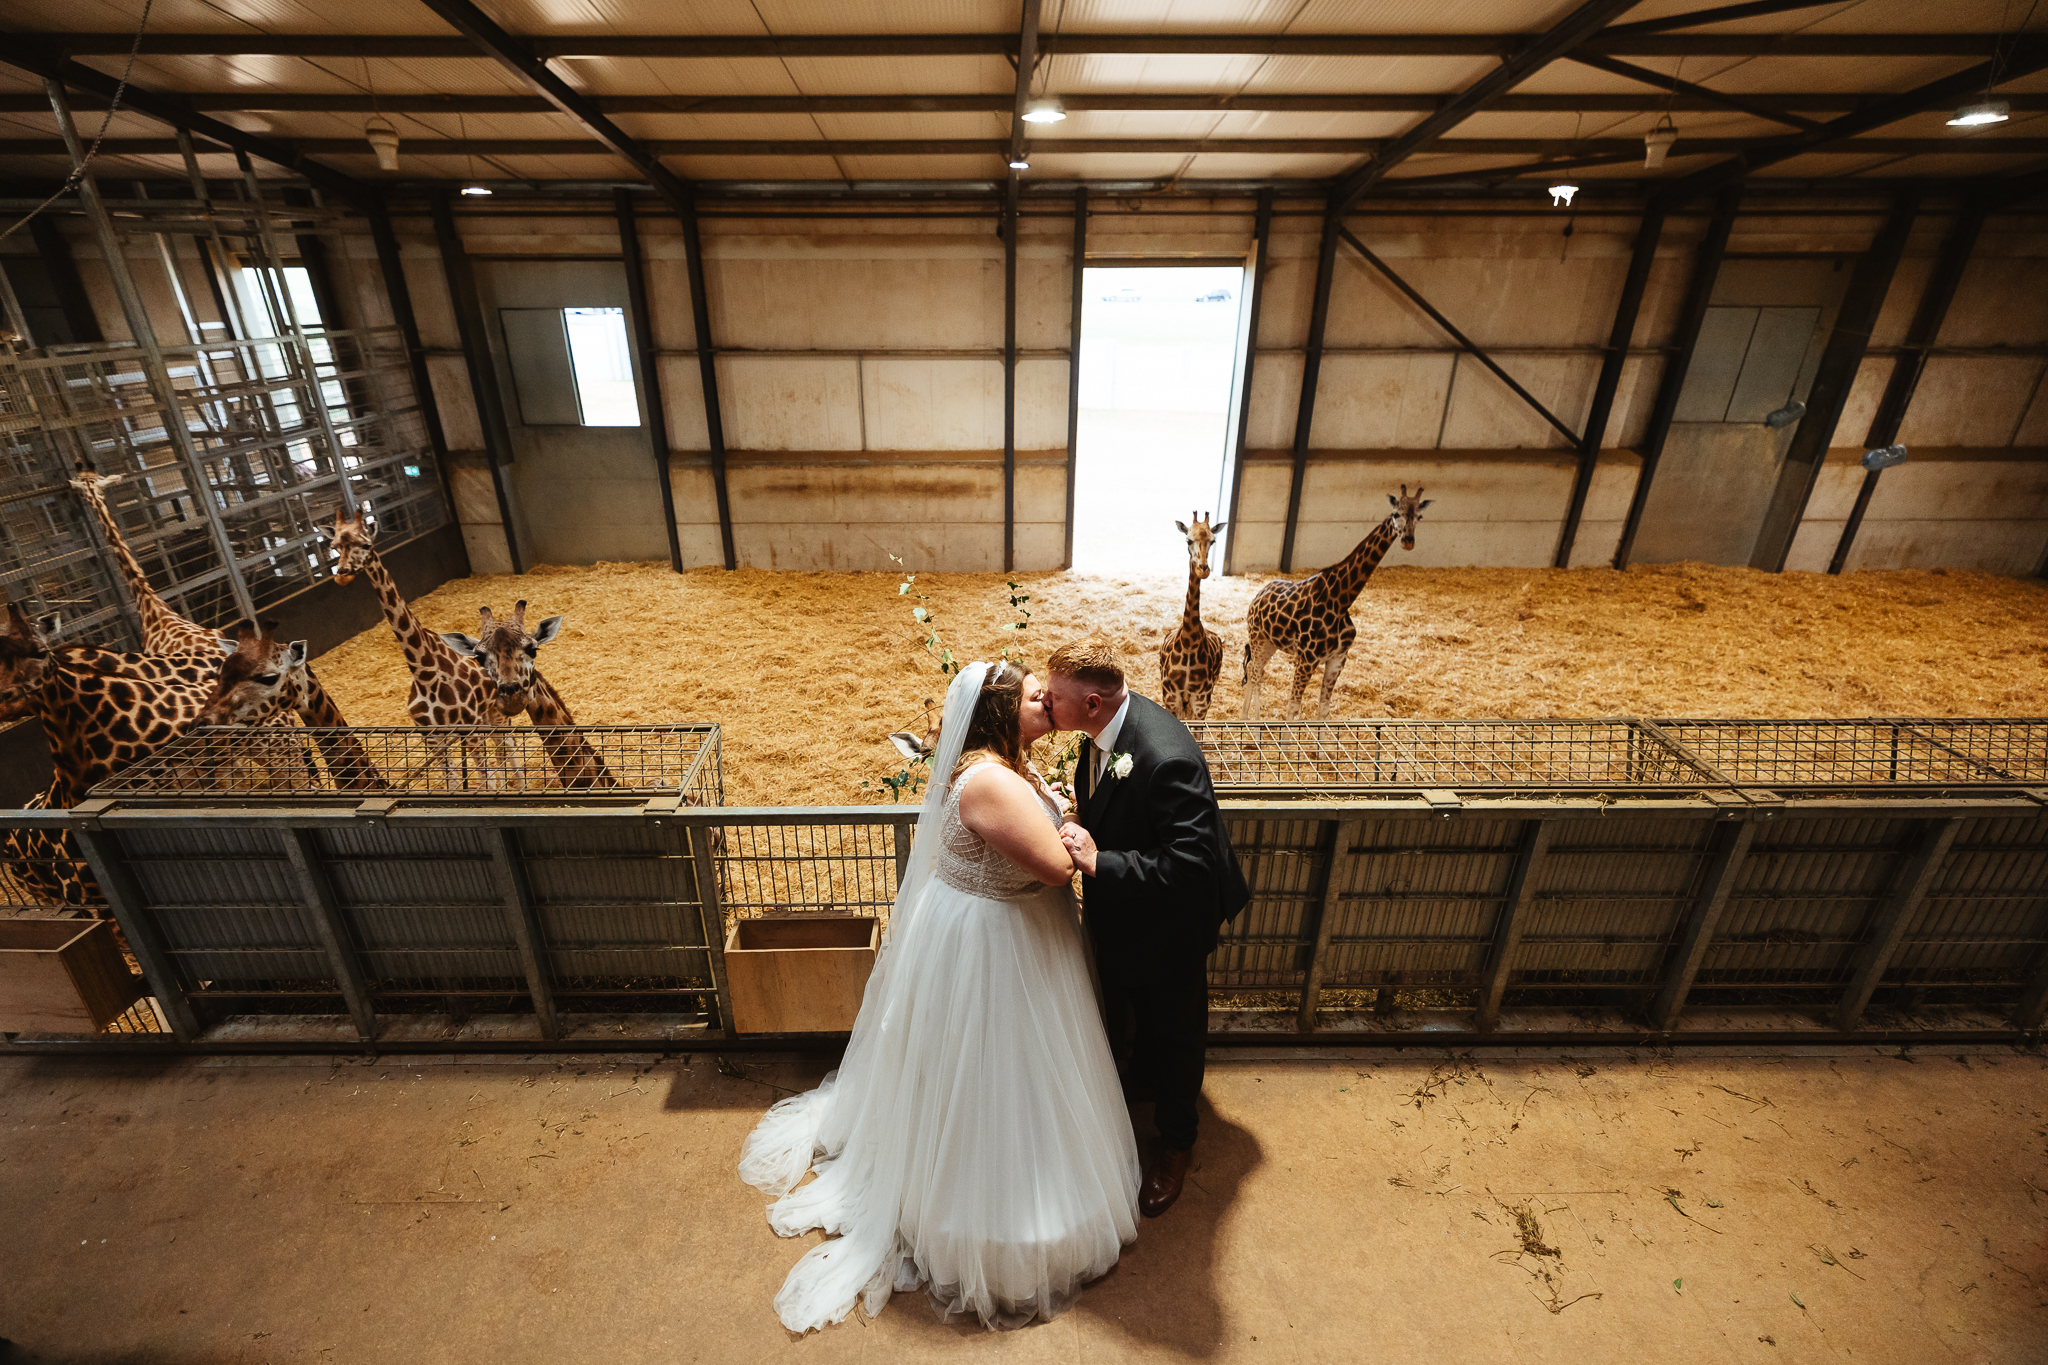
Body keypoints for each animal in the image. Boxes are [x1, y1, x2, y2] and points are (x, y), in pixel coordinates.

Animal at [1163, 511, 1220, 724]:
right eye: (1188, 540)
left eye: (1213, 541)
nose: (1203, 569)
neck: (1189, 642)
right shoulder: (1172, 699)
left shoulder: (1201, 702)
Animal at [1236, 485, 1433, 720]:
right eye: (1396, 514)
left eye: (1420, 517)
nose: (1408, 541)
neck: (1340, 601)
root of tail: (1258, 594)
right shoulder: (1306, 660)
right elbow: (1292, 708)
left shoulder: (1338, 659)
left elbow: (1323, 709)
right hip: (1257, 636)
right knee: (1255, 672)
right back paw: (1251, 722)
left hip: (1271, 642)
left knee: (1255, 669)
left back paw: (1246, 716)